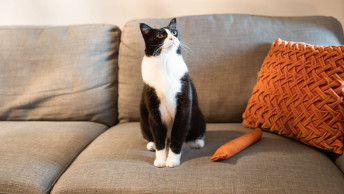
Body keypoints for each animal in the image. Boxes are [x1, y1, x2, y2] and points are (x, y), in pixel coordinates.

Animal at [138, 18, 206, 168]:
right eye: (159, 35)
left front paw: (172, 160)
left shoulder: (184, 107)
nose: (172, 38)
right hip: (143, 116)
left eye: (174, 32)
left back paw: (197, 142)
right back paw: (151, 144)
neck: (165, 62)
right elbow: (158, 136)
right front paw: (160, 160)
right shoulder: (154, 110)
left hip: (198, 115)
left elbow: (178, 134)